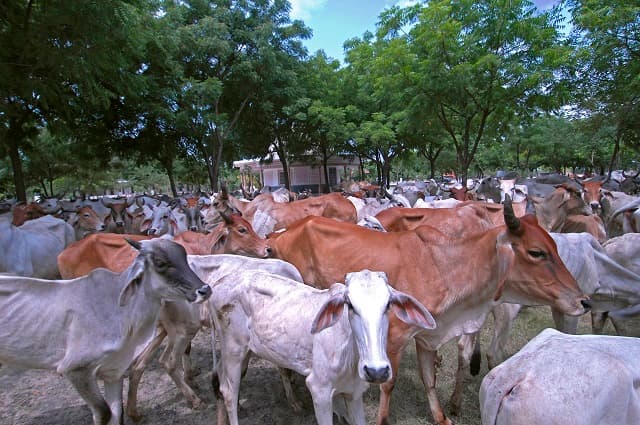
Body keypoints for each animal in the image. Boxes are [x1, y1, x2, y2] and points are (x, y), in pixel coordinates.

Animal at [0, 238, 212, 425]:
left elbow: (116, 413)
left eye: (184, 256)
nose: (205, 290)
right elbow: (104, 413)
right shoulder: (76, 370)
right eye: (160, 263)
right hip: (181, 330)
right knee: (165, 362)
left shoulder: (114, 371)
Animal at [126, 254, 304, 420]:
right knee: (169, 362)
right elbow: (280, 369)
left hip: (164, 329)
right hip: (185, 329)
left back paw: (134, 412)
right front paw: (294, 401)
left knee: (140, 364)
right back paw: (195, 399)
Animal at [210, 269, 436, 425]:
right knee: (229, 392)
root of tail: (221, 281)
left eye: (388, 304)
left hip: (243, 351)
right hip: (233, 350)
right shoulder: (320, 391)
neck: (350, 354)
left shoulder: (354, 393)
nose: (376, 371)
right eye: (350, 305)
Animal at [268, 197, 589, 425]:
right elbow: (388, 383)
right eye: (536, 252)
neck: (443, 266)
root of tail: (281, 233)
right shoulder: (394, 338)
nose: (583, 301)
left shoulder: (425, 336)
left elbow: (429, 379)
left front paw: (441, 416)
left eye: (554, 245)